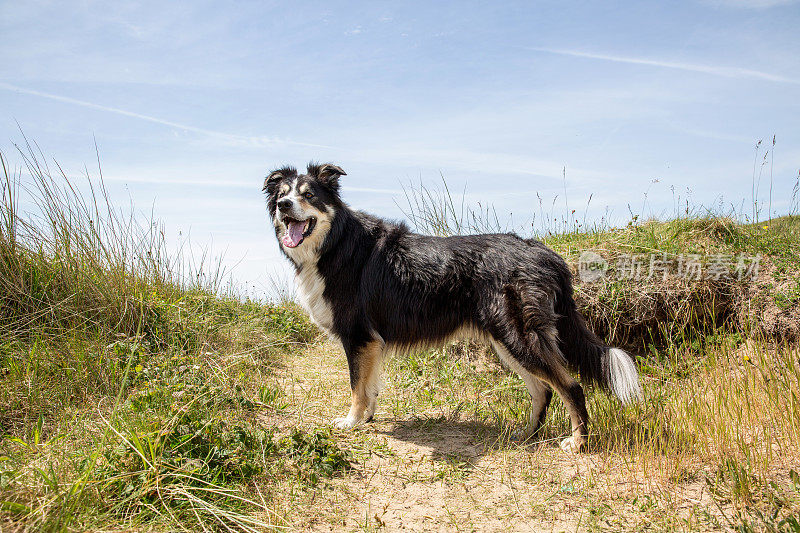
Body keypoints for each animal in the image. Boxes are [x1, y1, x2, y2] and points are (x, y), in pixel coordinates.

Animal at [266, 163, 640, 454]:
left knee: (570, 387)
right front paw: (368, 417)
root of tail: (544, 252)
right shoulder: (370, 343)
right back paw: (526, 435)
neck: (335, 242)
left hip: (518, 337)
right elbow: (369, 386)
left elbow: (357, 386)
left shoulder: (358, 337)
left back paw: (577, 443)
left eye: (309, 195)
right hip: (506, 342)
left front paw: (352, 421)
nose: (283, 205)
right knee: (543, 389)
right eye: (283, 193)